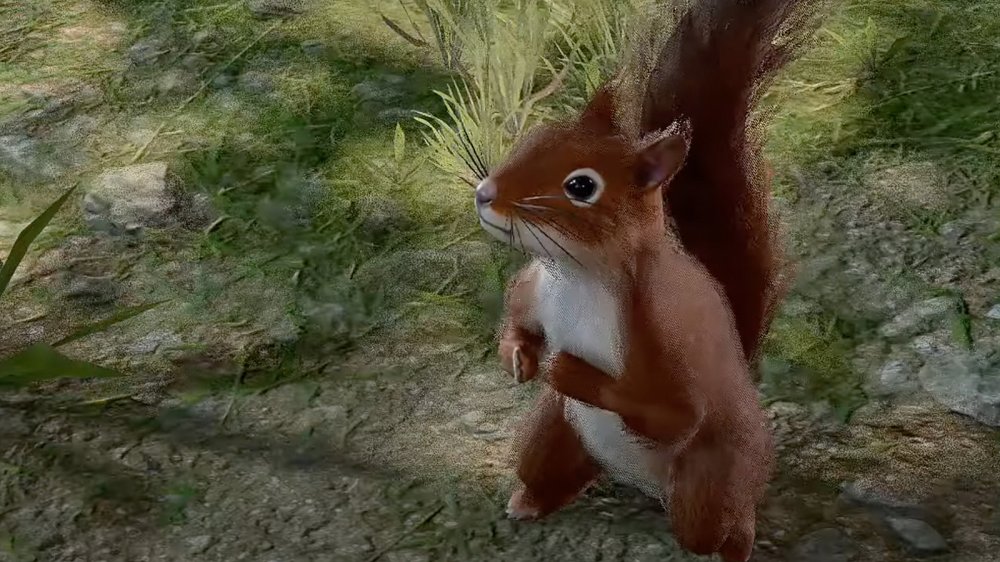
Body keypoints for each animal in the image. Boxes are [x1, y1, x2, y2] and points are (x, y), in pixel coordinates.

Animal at [472, 1, 822, 561]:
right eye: (534, 138)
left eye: (581, 186)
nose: (485, 194)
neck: (577, 275)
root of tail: (647, 488)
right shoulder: (535, 286)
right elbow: (519, 319)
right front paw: (518, 357)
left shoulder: (657, 327)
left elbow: (674, 412)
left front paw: (569, 370)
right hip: (555, 430)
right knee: (549, 466)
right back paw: (528, 501)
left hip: (713, 479)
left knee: (714, 524)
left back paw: (734, 546)